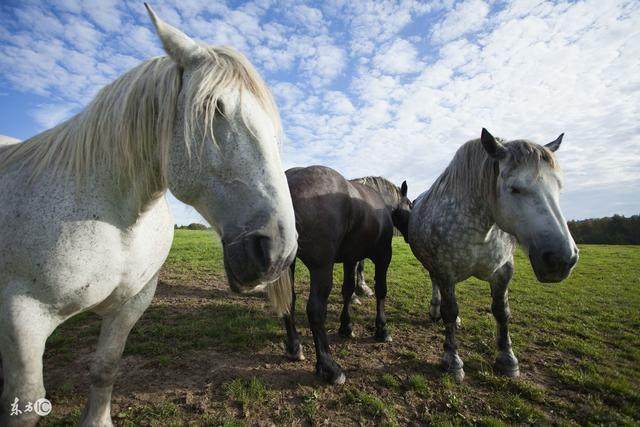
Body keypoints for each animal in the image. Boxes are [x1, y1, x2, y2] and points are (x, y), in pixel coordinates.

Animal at [0, 4, 296, 427]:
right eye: (217, 108)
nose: (278, 252)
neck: (116, 220)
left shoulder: (130, 305)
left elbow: (105, 369)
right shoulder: (22, 315)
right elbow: (25, 401)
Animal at [280, 166, 410, 384]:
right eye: (410, 205)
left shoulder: (352, 258)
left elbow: (348, 291)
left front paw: (346, 326)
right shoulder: (384, 255)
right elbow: (381, 290)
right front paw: (382, 329)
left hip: (288, 264)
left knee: (289, 300)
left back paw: (294, 346)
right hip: (321, 268)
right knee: (315, 310)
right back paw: (329, 367)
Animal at [410, 129, 580, 382]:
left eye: (559, 186)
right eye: (514, 188)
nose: (561, 259)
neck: (482, 227)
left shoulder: (503, 271)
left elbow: (501, 311)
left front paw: (507, 359)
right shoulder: (445, 270)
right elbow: (450, 310)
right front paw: (452, 360)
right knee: (436, 286)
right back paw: (435, 310)